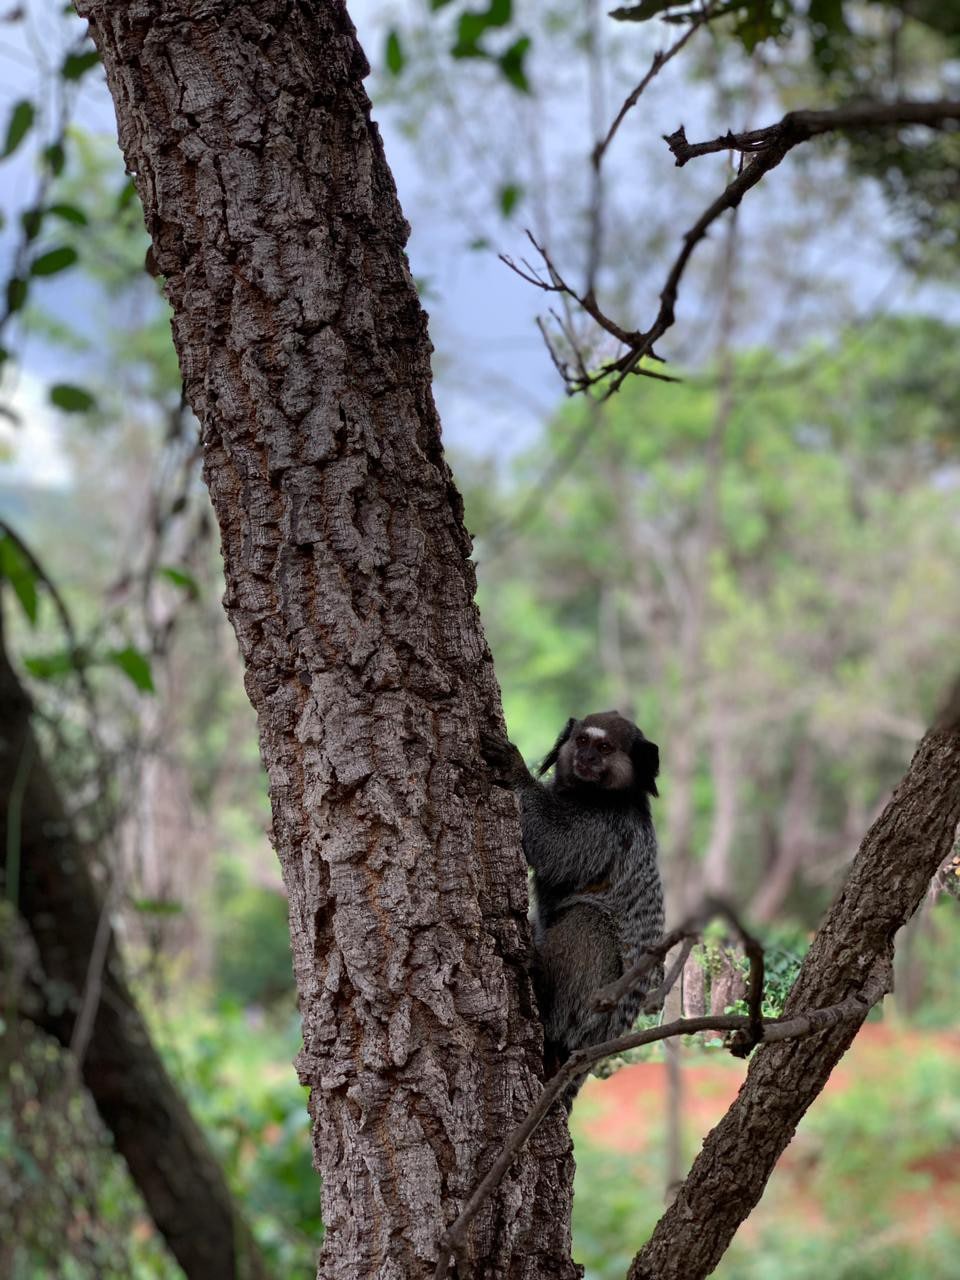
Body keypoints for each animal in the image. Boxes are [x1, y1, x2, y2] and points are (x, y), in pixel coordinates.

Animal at [488, 711, 660, 1100]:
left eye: (605, 748)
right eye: (581, 741)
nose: (587, 758)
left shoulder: (604, 829)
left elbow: (552, 843)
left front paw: (516, 769)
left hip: (597, 1009)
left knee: (589, 920)